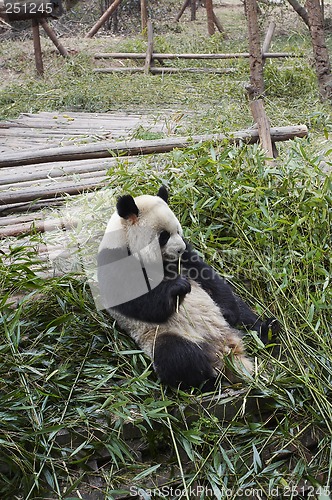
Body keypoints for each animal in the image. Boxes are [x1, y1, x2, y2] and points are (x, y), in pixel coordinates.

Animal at [96, 186, 278, 392]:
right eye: (164, 236)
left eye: (178, 231)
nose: (180, 249)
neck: (125, 240)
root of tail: (227, 348)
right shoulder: (113, 261)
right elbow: (137, 301)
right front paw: (178, 287)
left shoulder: (186, 260)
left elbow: (206, 274)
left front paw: (228, 311)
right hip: (161, 335)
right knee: (178, 356)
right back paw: (211, 378)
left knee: (245, 315)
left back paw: (269, 330)